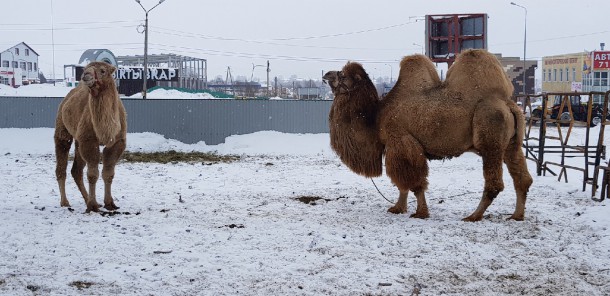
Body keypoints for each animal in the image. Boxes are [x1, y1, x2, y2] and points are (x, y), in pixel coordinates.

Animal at [54, 60, 126, 213]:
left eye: (103, 70)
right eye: (85, 69)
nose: (85, 75)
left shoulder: (118, 142)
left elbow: (108, 173)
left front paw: (109, 203)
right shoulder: (89, 141)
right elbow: (93, 174)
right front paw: (92, 206)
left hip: (78, 140)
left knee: (76, 170)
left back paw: (89, 200)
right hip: (62, 129)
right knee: (62, 165)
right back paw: (65, 202)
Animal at [326, 49, 528, 220]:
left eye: (342, 74)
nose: (326, 74)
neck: (376, 117)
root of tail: (509, 104)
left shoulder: (401, 142)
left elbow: (414, 182)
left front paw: (420, 212)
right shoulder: (398, 148)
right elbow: (402, 184)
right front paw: (398, 208)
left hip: (490, 139)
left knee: (495, 183)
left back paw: (473, 216)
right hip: (512, 145)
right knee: (522, 178)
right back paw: (516, 215)